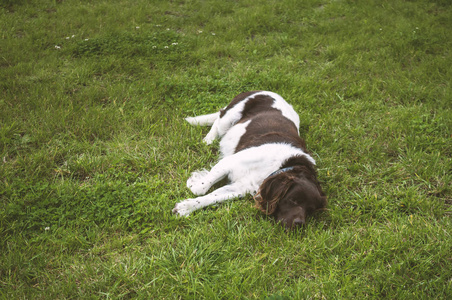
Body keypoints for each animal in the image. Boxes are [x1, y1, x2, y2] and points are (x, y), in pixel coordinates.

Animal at [171, 90, 326, 229]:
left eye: (310, 210)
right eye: (293, 200)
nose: (299, 224)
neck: (280, 166)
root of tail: (267, 91)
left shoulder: (241, 187)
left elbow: (211, 196)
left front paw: (185, 207)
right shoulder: (230, 162)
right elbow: (200, 188)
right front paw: (194, 182)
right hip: (229, 116)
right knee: (217, 120)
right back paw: (208, 140)